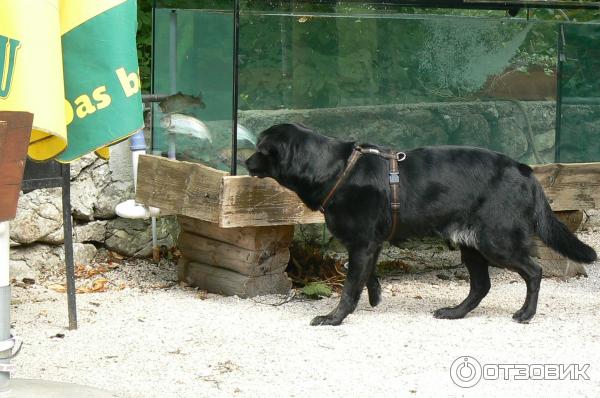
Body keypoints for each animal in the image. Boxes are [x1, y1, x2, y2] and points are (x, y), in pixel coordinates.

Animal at [245, 123, 596, 326]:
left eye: (260, 149)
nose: (246, 162)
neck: (335, 169)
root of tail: (526, 171)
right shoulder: (369, 245)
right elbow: (363, 277)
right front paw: (373, 298)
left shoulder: (362, 243)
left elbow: (349, 286)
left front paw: (334, 318)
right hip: (470, 244)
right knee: (481, 285)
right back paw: (455, 312)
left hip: (497, 242)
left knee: (534, 271)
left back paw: (526, 314)